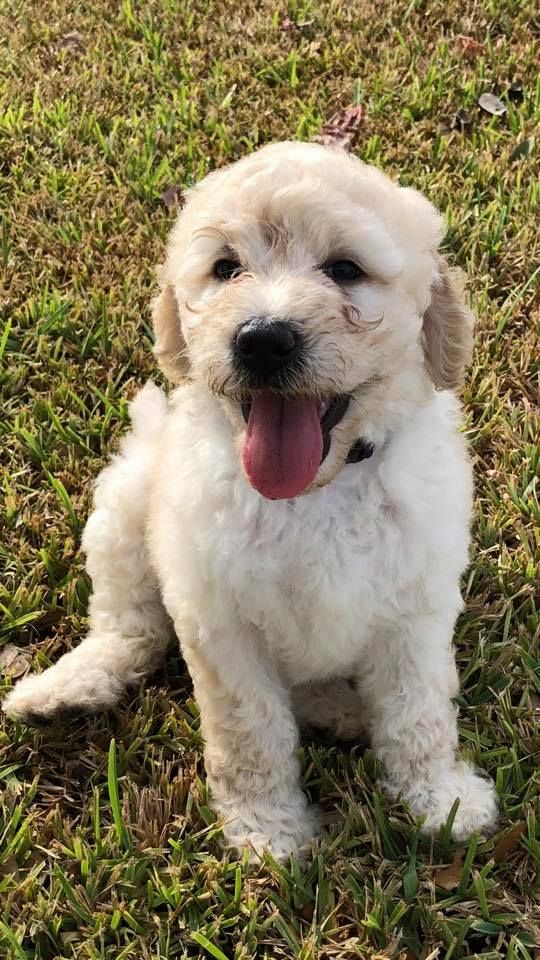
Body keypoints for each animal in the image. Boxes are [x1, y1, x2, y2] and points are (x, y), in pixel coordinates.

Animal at [3, 139, 498, 860]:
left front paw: (441, 801)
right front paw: (269, 831)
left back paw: (342, 711)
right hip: (127, 503)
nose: (262, 339)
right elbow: (250, 734)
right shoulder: (220, 623)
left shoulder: (415, 608)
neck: (315, 491)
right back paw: (67, 687)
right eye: (225, 268)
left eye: (344, 269)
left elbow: (418, 710)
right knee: (130, 623)